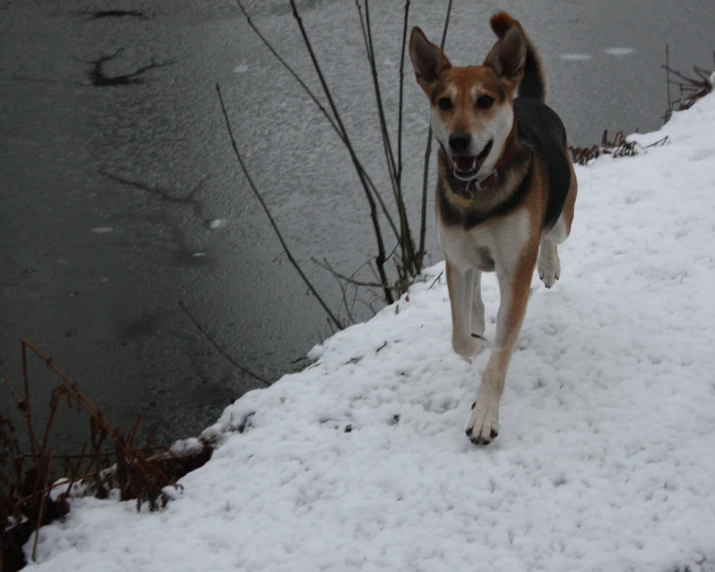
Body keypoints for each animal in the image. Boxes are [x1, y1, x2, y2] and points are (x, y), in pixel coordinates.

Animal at [408, 11, 576, 444]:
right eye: (444, 103)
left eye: (484, 100)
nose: (458, 140)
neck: (477, 192)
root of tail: (529, 100)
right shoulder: (455, 257)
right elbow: (459, 336)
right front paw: (476, 339)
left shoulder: (515, 268)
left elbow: (501, 352)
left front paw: (484, 416)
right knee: (475, 291)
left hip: (562, 216)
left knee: (551, 236)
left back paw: (548, 266)